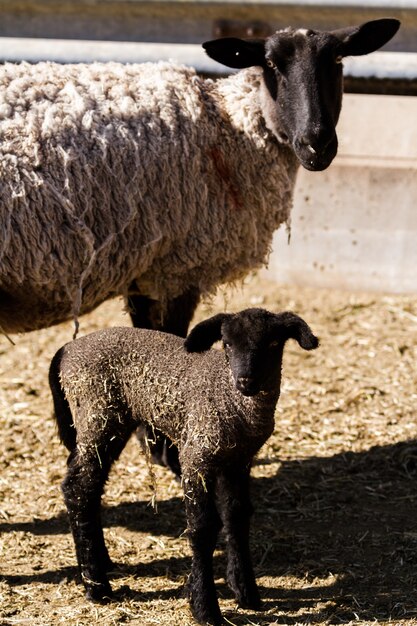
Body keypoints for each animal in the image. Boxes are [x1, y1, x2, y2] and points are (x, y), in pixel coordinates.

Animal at [0, 18, 400, 464]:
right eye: (271, 65)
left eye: (337, 60)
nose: (317, 143)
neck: (229, 132)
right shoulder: (176, 266)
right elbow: (168, 341)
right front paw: (163, 448)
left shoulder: (146, 269)